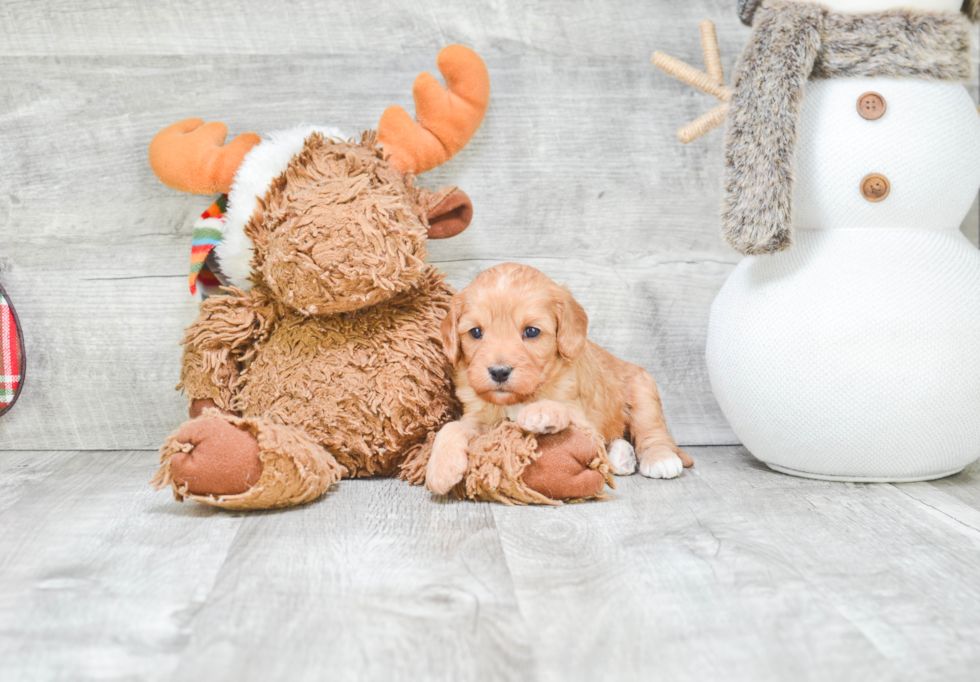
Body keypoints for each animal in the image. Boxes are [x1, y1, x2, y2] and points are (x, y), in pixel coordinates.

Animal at [424, 262, 692, 494]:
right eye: (476, 332)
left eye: (532, 331)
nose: (499, 372)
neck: (517, 399)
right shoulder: (478, 418)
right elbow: (451, 427)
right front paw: (440, 469)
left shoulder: (582, 419)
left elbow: (561, 408)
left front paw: (542, 411)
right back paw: (622, 456)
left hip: (643, 388)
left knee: (653, 431)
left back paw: (660, 458)